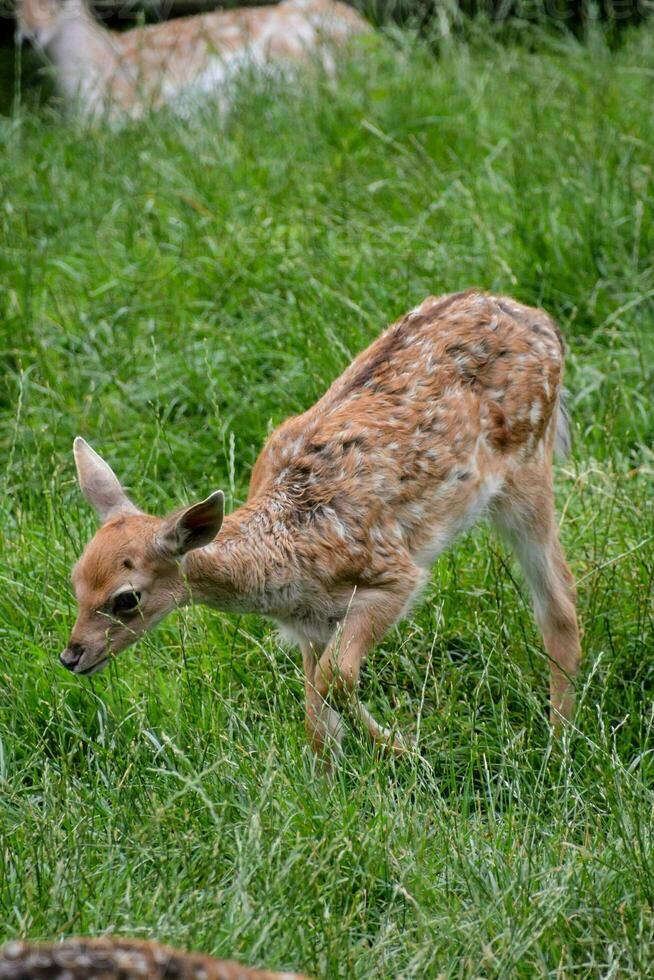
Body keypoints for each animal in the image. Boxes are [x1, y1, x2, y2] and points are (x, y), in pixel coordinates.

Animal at [62, 290, 584, 764]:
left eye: (126, 598)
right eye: (75, 580)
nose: (71, 657)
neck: (286, 549)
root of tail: (544, 323)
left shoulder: (394, 577)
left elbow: (336, 680)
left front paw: (407, 748)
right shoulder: (310, 626)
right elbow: (317, 716)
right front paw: (331, 782)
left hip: (527, 472)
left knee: (559, 601)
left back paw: (559, 739)